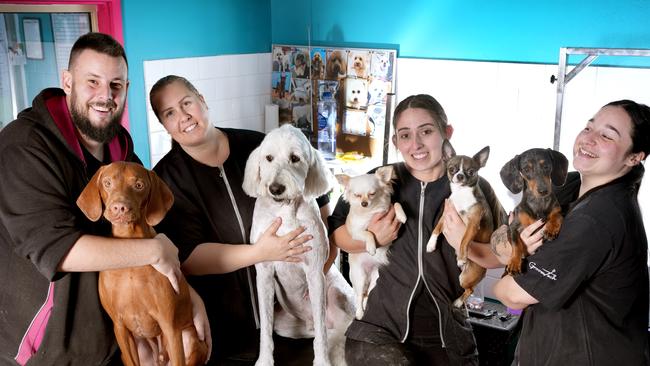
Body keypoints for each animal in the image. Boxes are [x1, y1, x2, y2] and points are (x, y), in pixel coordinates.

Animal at [76, 162, 208, 364]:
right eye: (107, 183)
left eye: (139, 185)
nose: (119, 207)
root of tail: (160, 359)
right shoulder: (120, 327)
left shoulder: (170, 327)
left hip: (190, 339)